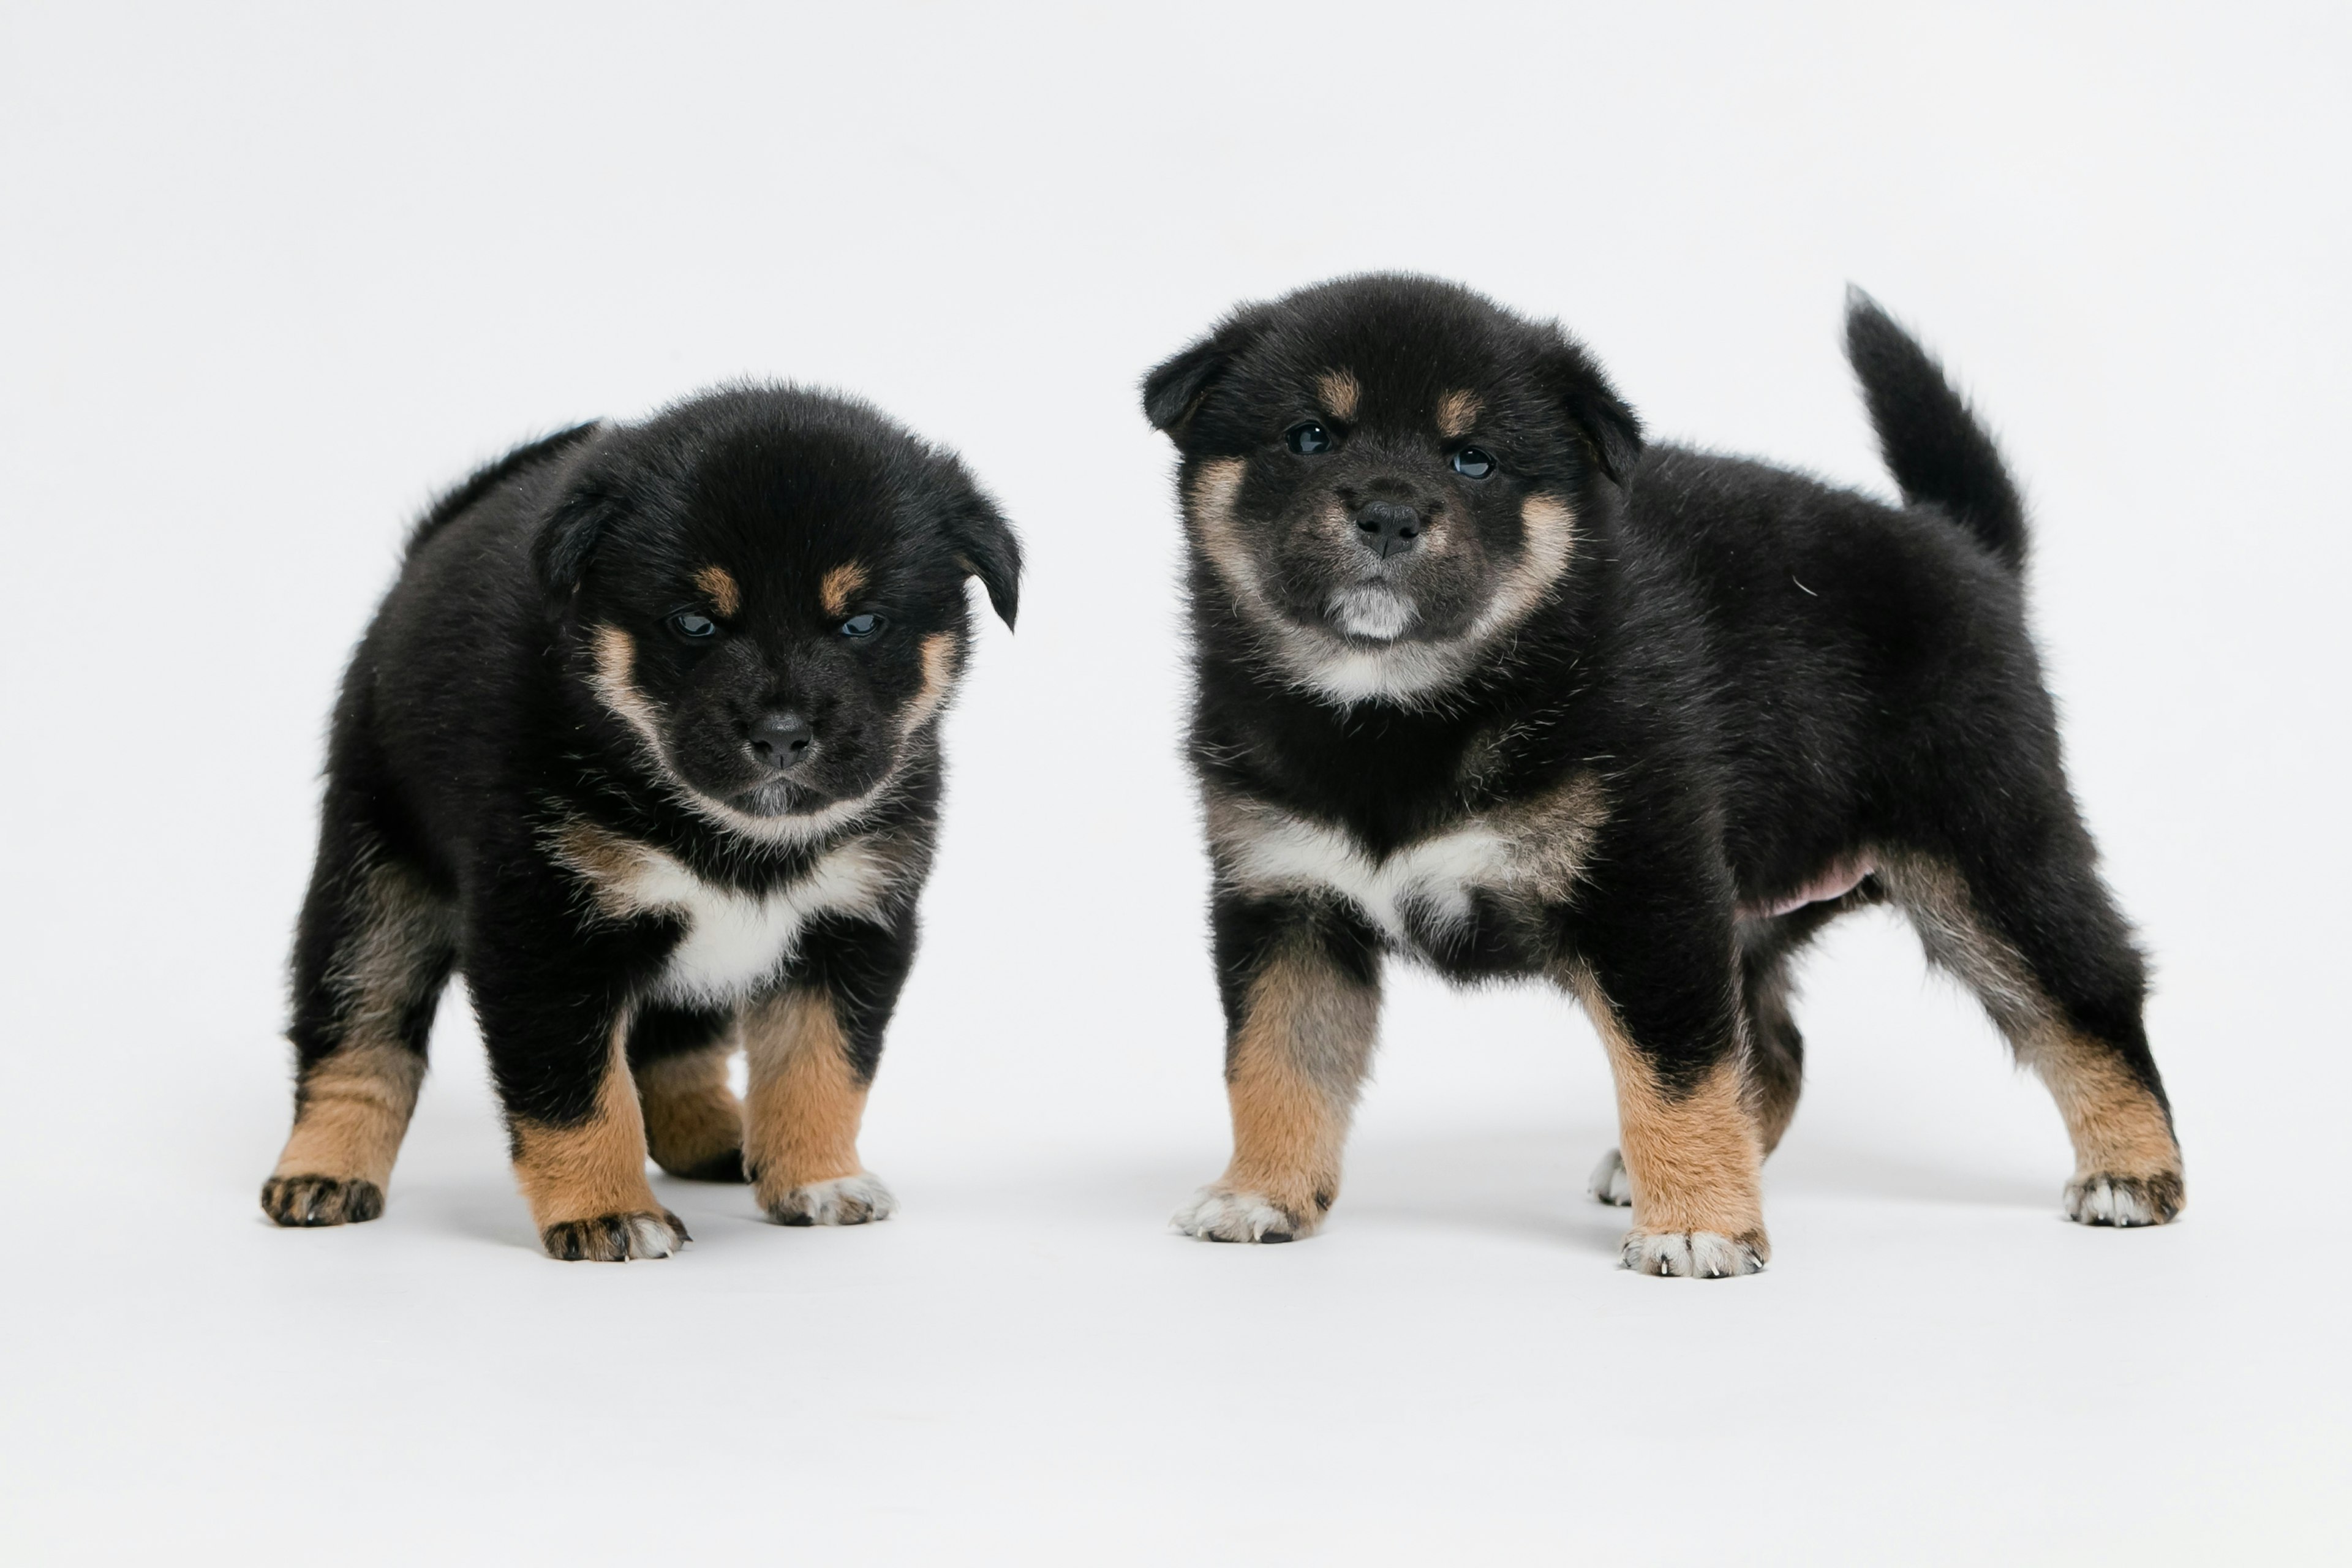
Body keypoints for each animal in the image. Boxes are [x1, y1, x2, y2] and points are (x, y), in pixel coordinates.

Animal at [1138, 273, 2182, 1278]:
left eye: (1473, 459)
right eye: (1310, 436)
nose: (1389, 514)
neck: (1401, 712)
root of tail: (1964, 547)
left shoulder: (1648, 894)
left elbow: (1677, 1073)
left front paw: (1698, 1228)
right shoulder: (1287, 904)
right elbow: (1276, 1063)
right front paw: (1262, 1193)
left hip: (1988, 857)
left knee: (2086, 995)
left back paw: (2132, 1170)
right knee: (1776, 1049)